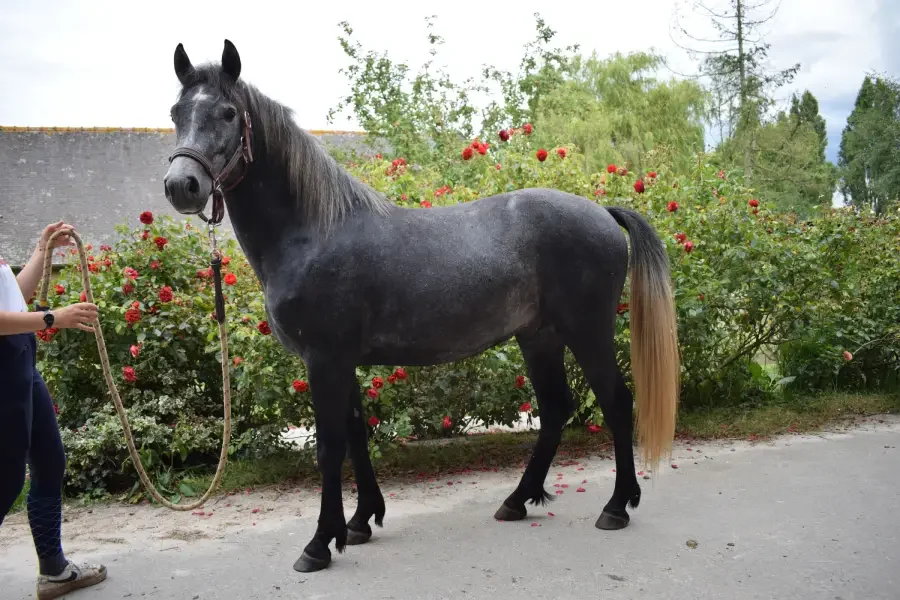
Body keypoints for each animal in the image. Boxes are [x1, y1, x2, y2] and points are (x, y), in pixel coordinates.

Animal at [163, 39, 684, 576]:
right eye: (176, 113)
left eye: (228, 113)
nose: (182, 186)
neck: (313, 232)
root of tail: (602, 212)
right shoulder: (342, 362)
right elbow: (356, 434)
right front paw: (361, 521)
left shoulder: (325, 360)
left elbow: (330, 448)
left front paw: (320, 543)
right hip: (538, 337)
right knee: (556, 408)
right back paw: (518, 500)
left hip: (587, 332)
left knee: (616, 403)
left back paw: (616, 506)